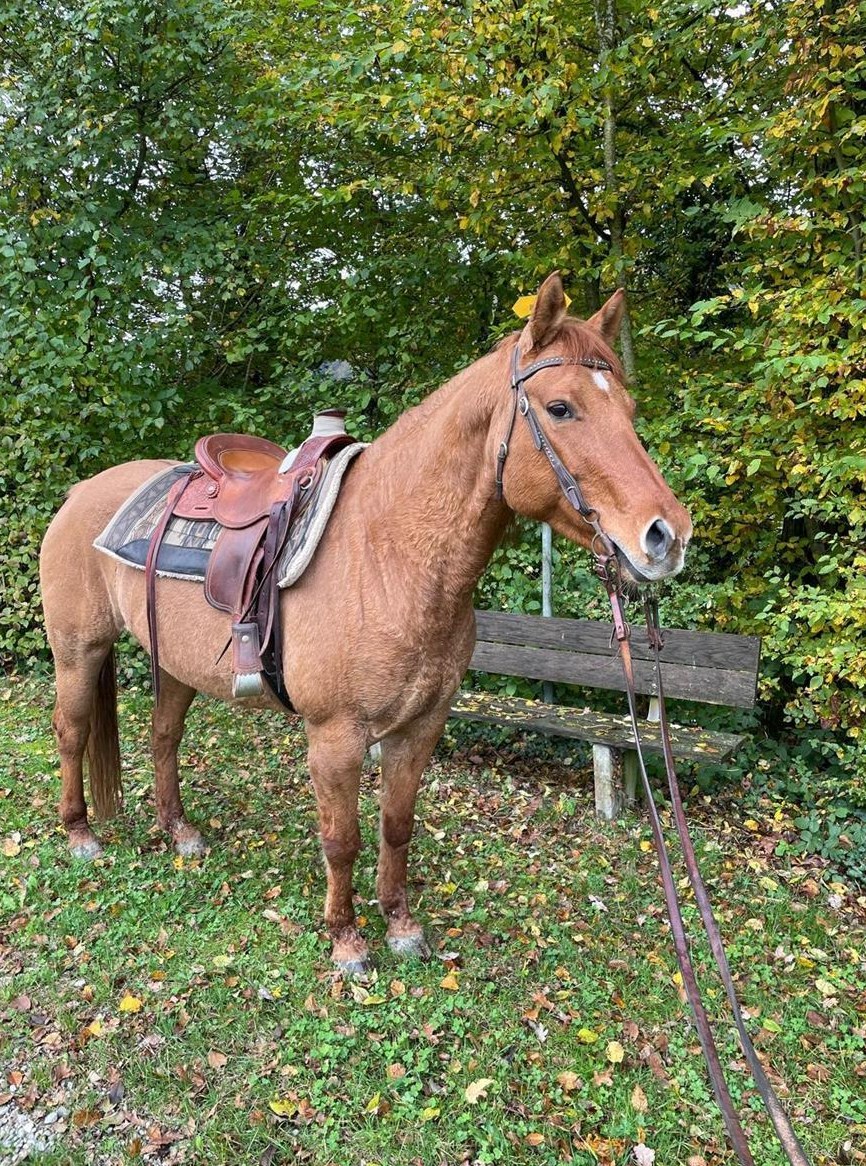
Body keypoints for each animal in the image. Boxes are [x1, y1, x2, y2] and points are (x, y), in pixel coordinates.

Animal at [40, 274, 692, 974]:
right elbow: (342, 838)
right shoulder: (336, 737)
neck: (388, 553)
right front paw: (347, 940)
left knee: (164, 737)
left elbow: (396, 826)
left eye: (628, 408)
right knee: (71, 732)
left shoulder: (420, 727)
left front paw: (400, 924)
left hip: (175, 663)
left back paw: (180, 831)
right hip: (78, 650)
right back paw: (80, 834)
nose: (667, 535)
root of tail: (80, 492)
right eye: (561, 407)